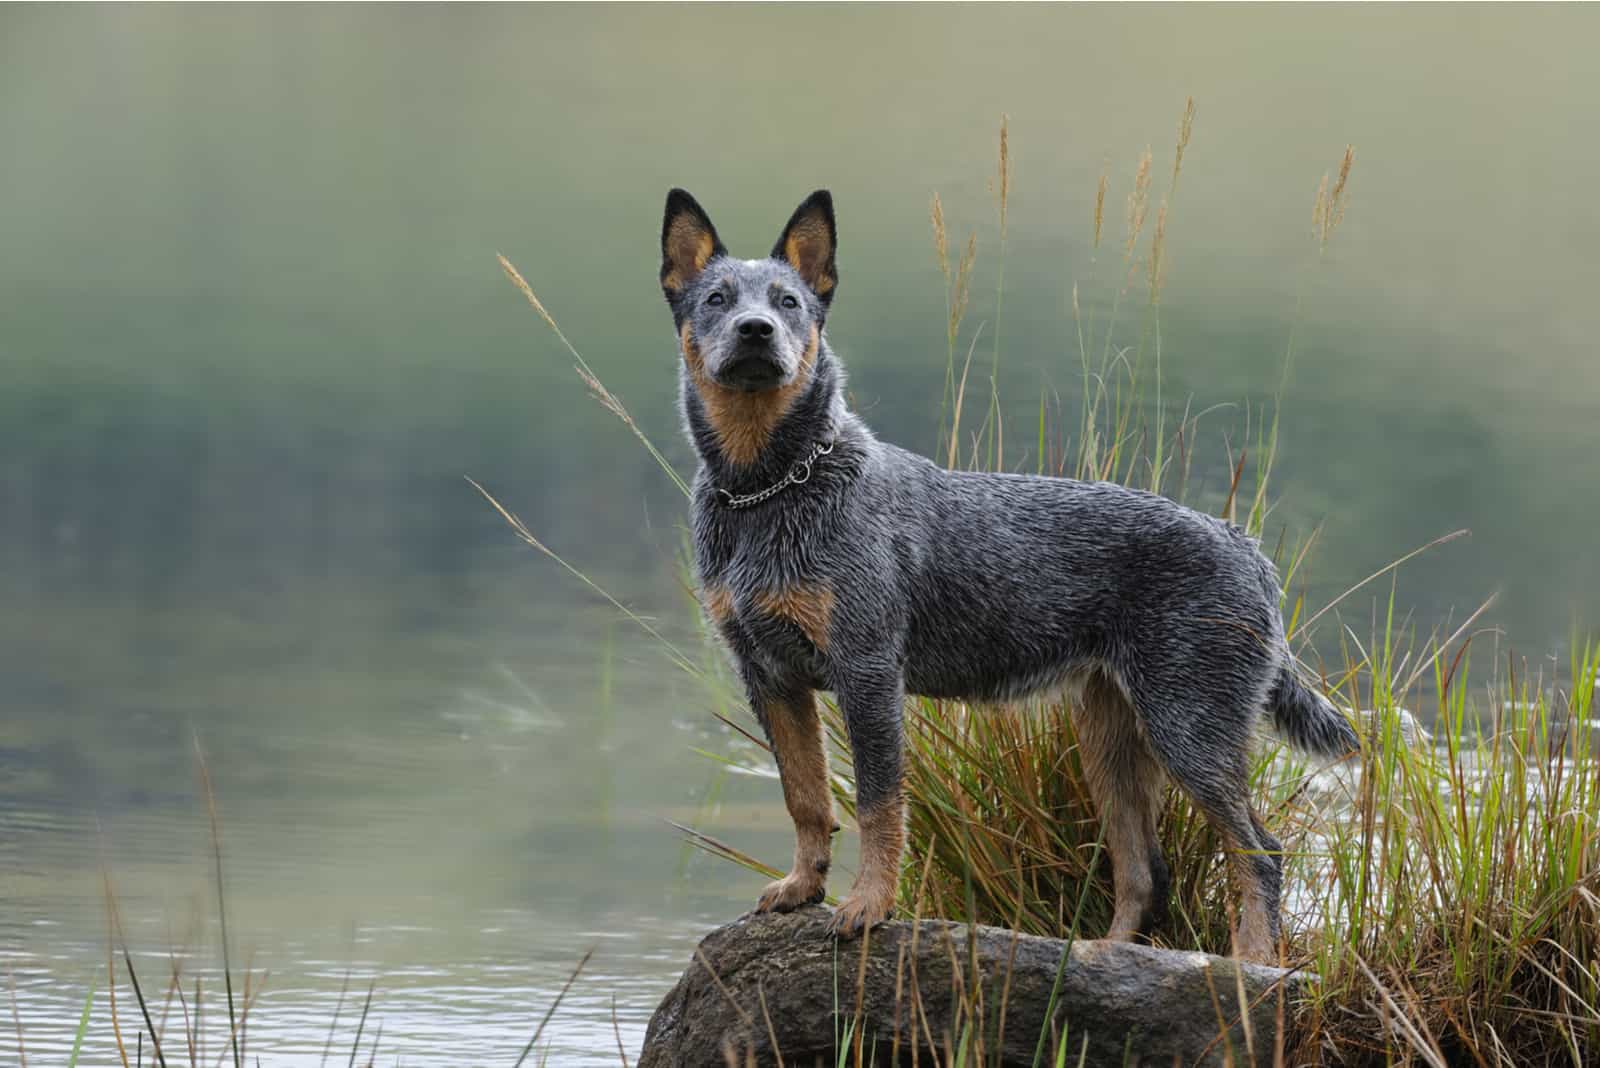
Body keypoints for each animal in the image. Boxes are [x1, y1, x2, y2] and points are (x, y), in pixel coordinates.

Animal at [656, 187, 1356, 965]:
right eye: (717, 298)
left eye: (789, 301)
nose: (756, 330)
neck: (768, 491)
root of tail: (1247, 547)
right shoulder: (770, 676)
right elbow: (805, 797)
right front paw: (803, 887)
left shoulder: (867, 673)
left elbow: (877, 804)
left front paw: (868, 905)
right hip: (1110, 737)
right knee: (1145, 869)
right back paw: (1102, 955)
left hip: (1190, 727)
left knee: (1259, 850)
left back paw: (1253, 965)